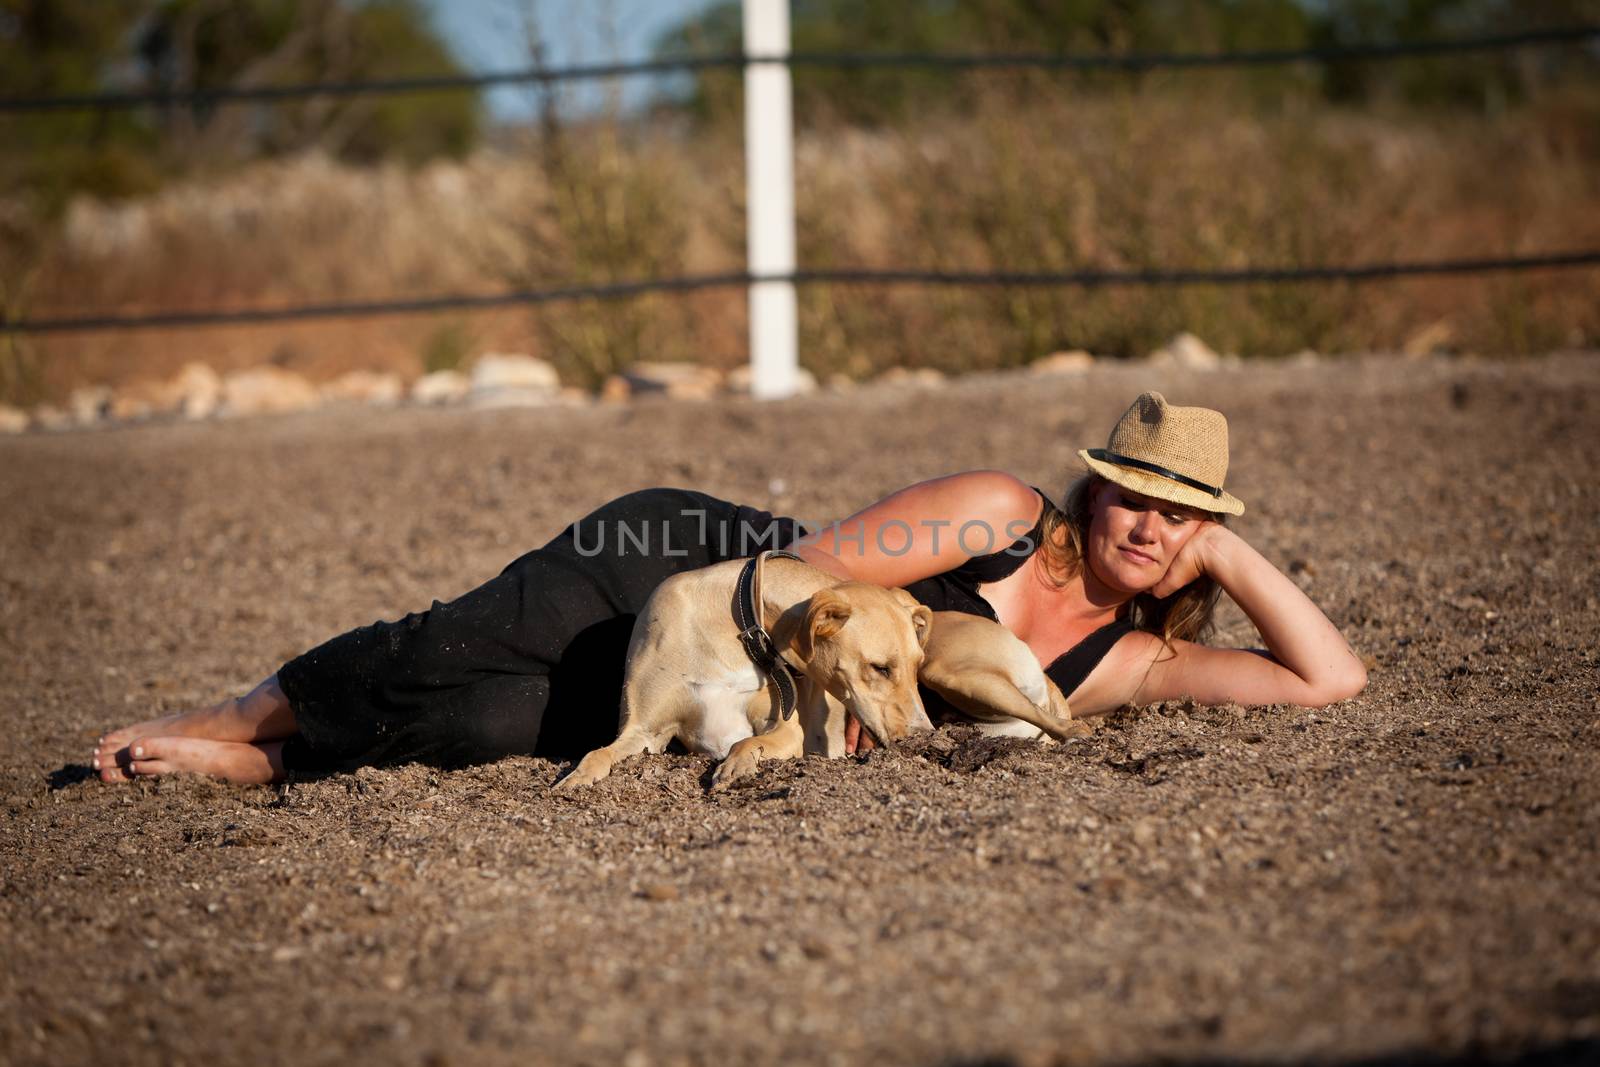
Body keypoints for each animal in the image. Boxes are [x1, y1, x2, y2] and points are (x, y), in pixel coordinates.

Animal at [556, 556, 934, 790]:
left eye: (918, 665)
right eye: (880, 667)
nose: (925, 736)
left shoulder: (786, 729)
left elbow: (747, 741)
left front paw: (735, 768)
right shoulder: (643, 731)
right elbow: (598, 753)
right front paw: (574, 780)